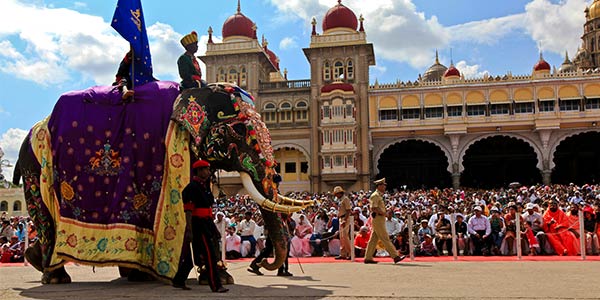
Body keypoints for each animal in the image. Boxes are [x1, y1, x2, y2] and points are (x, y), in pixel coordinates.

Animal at [12, 81, 314, 284]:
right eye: (239, 131)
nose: (263, 265)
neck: (196, 91)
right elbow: (188, 216)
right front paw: (213, 277)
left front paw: (216, 277)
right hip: (34, 166)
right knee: (44, 218)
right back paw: (55, 276)